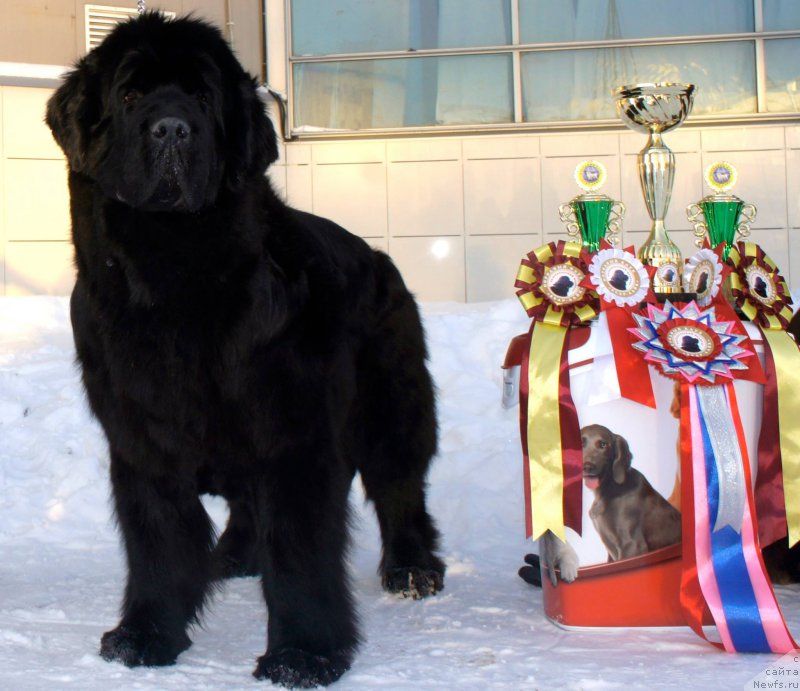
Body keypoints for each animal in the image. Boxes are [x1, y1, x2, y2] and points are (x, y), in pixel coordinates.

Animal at [45, 13, 444, 688]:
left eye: (204, 99)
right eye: (130, 95)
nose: (171, 127)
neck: (173, 275)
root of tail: (378, 256)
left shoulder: (294, 434)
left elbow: (301, 552)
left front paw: (304, 654)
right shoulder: (140, 437)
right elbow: (156, 541)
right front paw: (144, 635)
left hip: (392, 404)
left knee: (400, 484)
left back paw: (413, 568)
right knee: (246, 502)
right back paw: (229, 556)